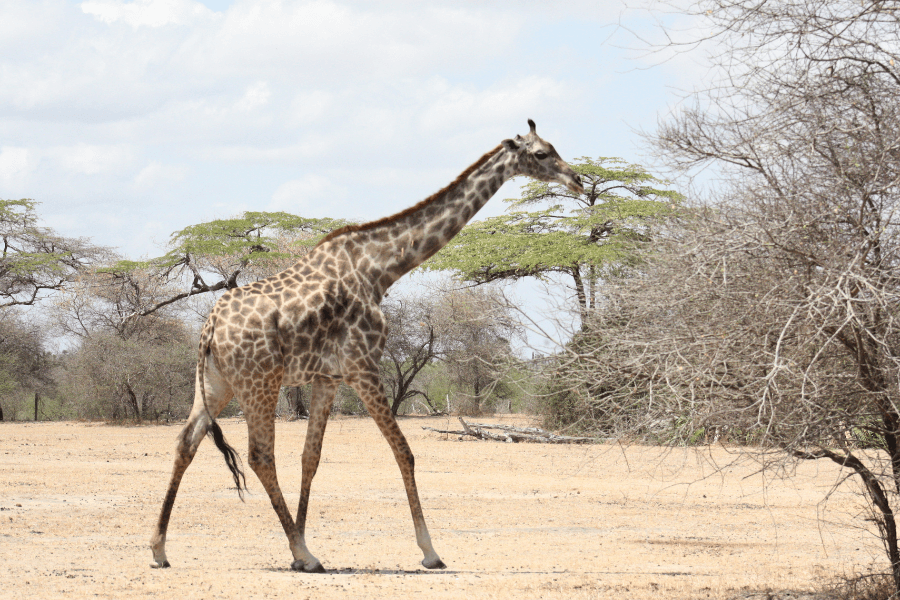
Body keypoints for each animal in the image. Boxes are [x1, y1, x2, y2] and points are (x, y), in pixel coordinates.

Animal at [150, 119, 584, 572]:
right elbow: (404, 451)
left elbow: (311, 458)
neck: (380, 269)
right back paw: (305, 555)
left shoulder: (328, 376)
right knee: (259, 456)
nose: (577, 179)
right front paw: (429, 551)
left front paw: (301, 541)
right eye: (541, 153)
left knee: (186, 443)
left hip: (217, 383)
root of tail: (210, 327)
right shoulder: (363, 365)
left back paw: (161, 549)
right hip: (260, 382)